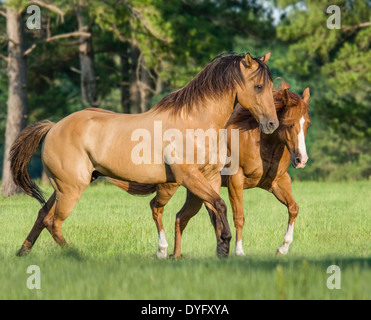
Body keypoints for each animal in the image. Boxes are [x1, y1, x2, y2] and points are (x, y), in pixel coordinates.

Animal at [9, 52, 280, 258]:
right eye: (258, 86)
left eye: (271, 86)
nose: (271, 124)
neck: (196, 122)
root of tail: (54, 127)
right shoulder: (189, 177)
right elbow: (220, 205)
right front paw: (224, 242)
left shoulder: (210, 177)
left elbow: (215, 211)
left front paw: (222, 249)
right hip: (71, 189)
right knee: (53, 222)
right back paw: (76, 254)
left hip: (62, 187)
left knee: (42, 215)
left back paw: (23, 252)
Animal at [109, 82, 310, 258]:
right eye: (289, 123)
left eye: (307, 123)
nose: (301, 160)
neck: (259, 143)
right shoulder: (236, 181)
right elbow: (239, 216)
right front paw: (239, 252)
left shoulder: (277, 182)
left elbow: (293, 208)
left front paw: (283, 248)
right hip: (170, 186)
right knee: (158, 208)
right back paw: (164, 251)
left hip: (196, 192)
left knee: (182, 217)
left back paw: (178, 255)